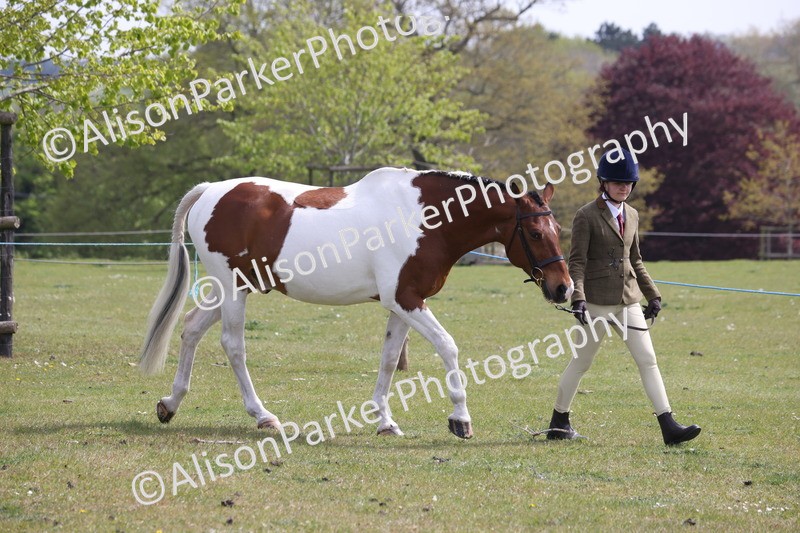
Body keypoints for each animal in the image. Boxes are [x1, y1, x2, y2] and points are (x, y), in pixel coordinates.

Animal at [139, 167, 573, 439]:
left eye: (557, 228)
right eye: (535, 233)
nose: (563, 289)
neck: (425, 218)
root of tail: (211, 190)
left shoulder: (402, 304)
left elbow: (389, 359)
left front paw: (385, 422)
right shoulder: (407, 300)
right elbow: (448, 347)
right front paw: (460, 419)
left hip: (237, 287)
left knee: (191, 327)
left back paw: (170, 404)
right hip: (231, 290)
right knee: (233, 346)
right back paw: (263, 416)